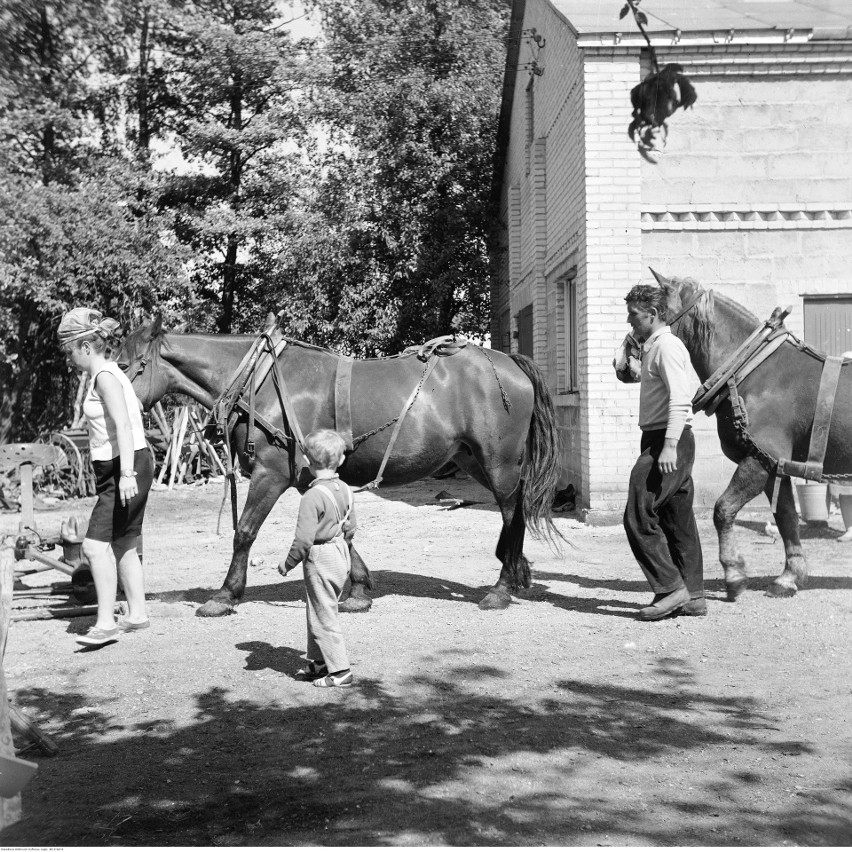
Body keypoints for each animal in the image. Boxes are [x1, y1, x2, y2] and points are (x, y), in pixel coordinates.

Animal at [116, 318, 564, 612]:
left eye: (124, 364)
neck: (259, 380)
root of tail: (509, 362)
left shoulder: (271, 473)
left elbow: (244, 531)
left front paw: (225, 594)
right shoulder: (309, 477)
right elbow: (343, 533)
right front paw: (360, 589)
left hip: (500, 463)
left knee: (513, 513)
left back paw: (502, 587)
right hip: (473, 460)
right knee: (512, 513)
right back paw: (516, 572)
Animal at [644, 272, 852, 600]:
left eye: (657, 309)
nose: (621, 361)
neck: (753, 372)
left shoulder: (759, 462)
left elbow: (723, 509)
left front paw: (734, 573)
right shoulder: (774, 467)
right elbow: (786, 518)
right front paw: (789, 577)